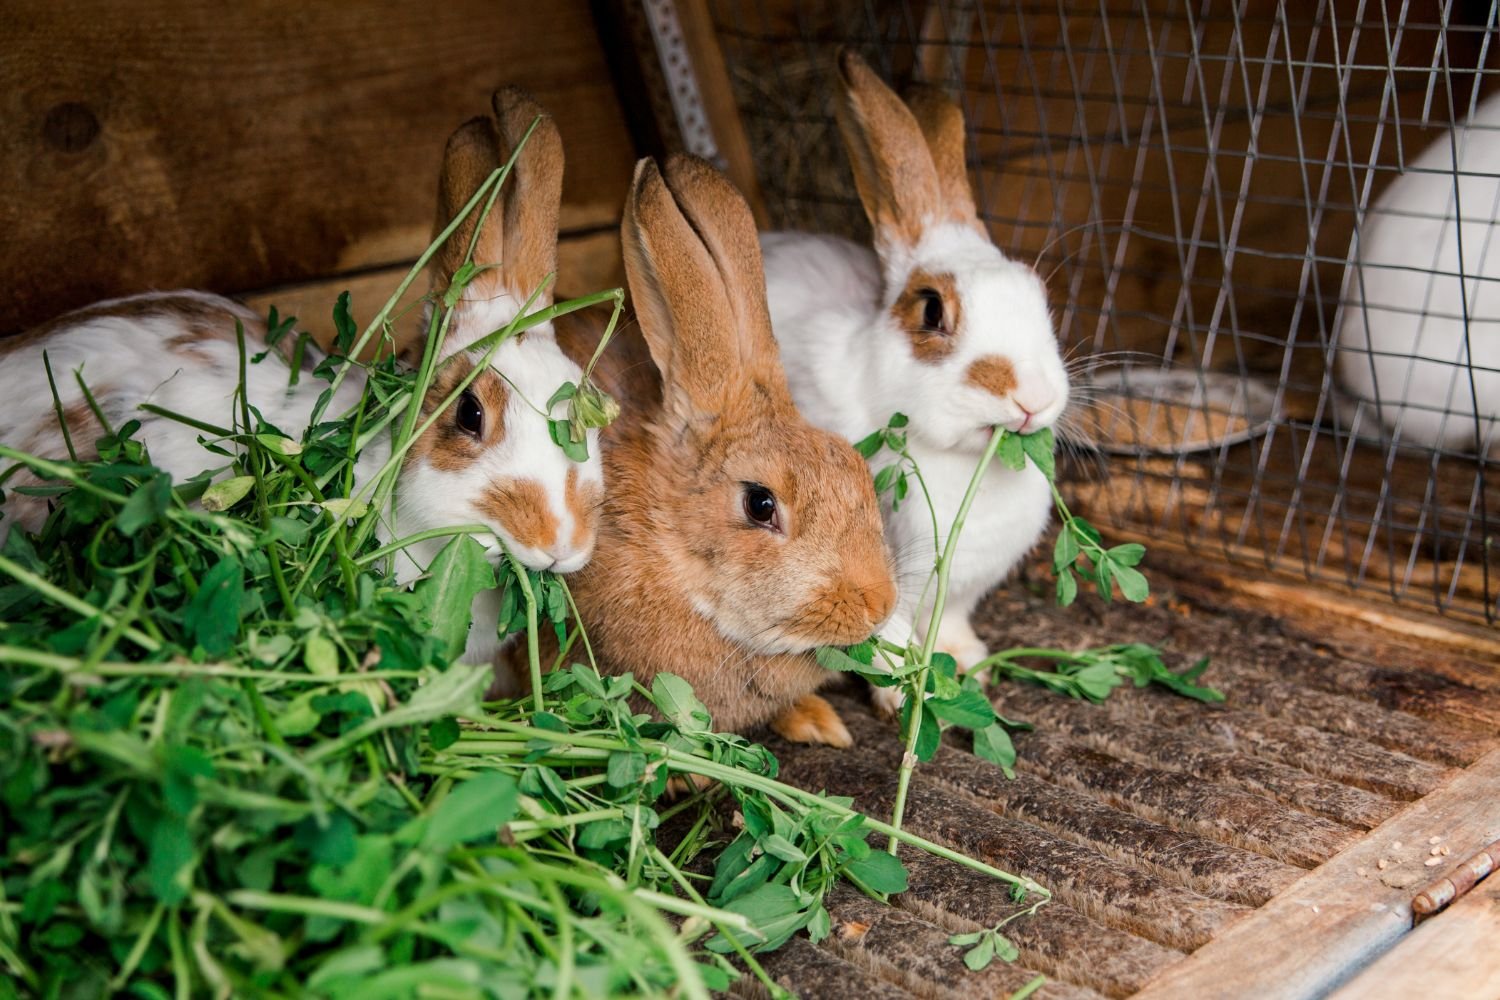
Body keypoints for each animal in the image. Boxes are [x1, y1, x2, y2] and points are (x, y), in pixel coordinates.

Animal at [757, 51, 1069, 710]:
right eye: (931, 310)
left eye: (1039, 296)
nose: (1033, 398)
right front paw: (902, 695)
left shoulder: (960, 592)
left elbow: (948, 621)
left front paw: (967, 660)